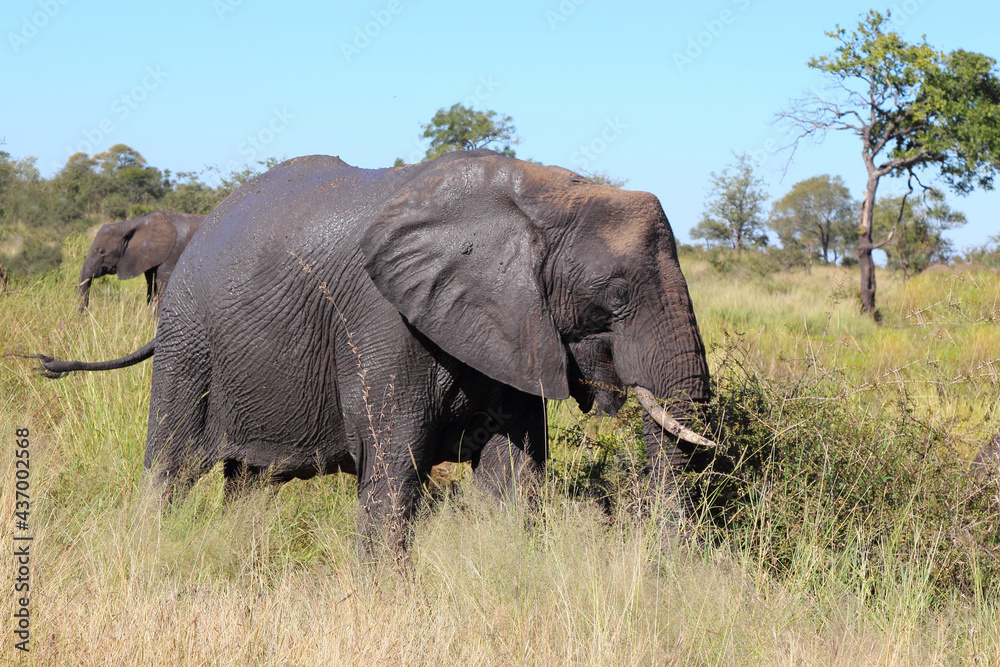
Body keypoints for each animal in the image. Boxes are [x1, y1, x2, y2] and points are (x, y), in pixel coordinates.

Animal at [38, 150, 717, 552]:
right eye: (618, 294)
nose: (659, 568)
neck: (547, 195)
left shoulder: (513, 329)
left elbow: (513, 469)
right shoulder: (383, 321)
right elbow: (395, 464)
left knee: (250, 483)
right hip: (188, 336)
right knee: (171, 466)